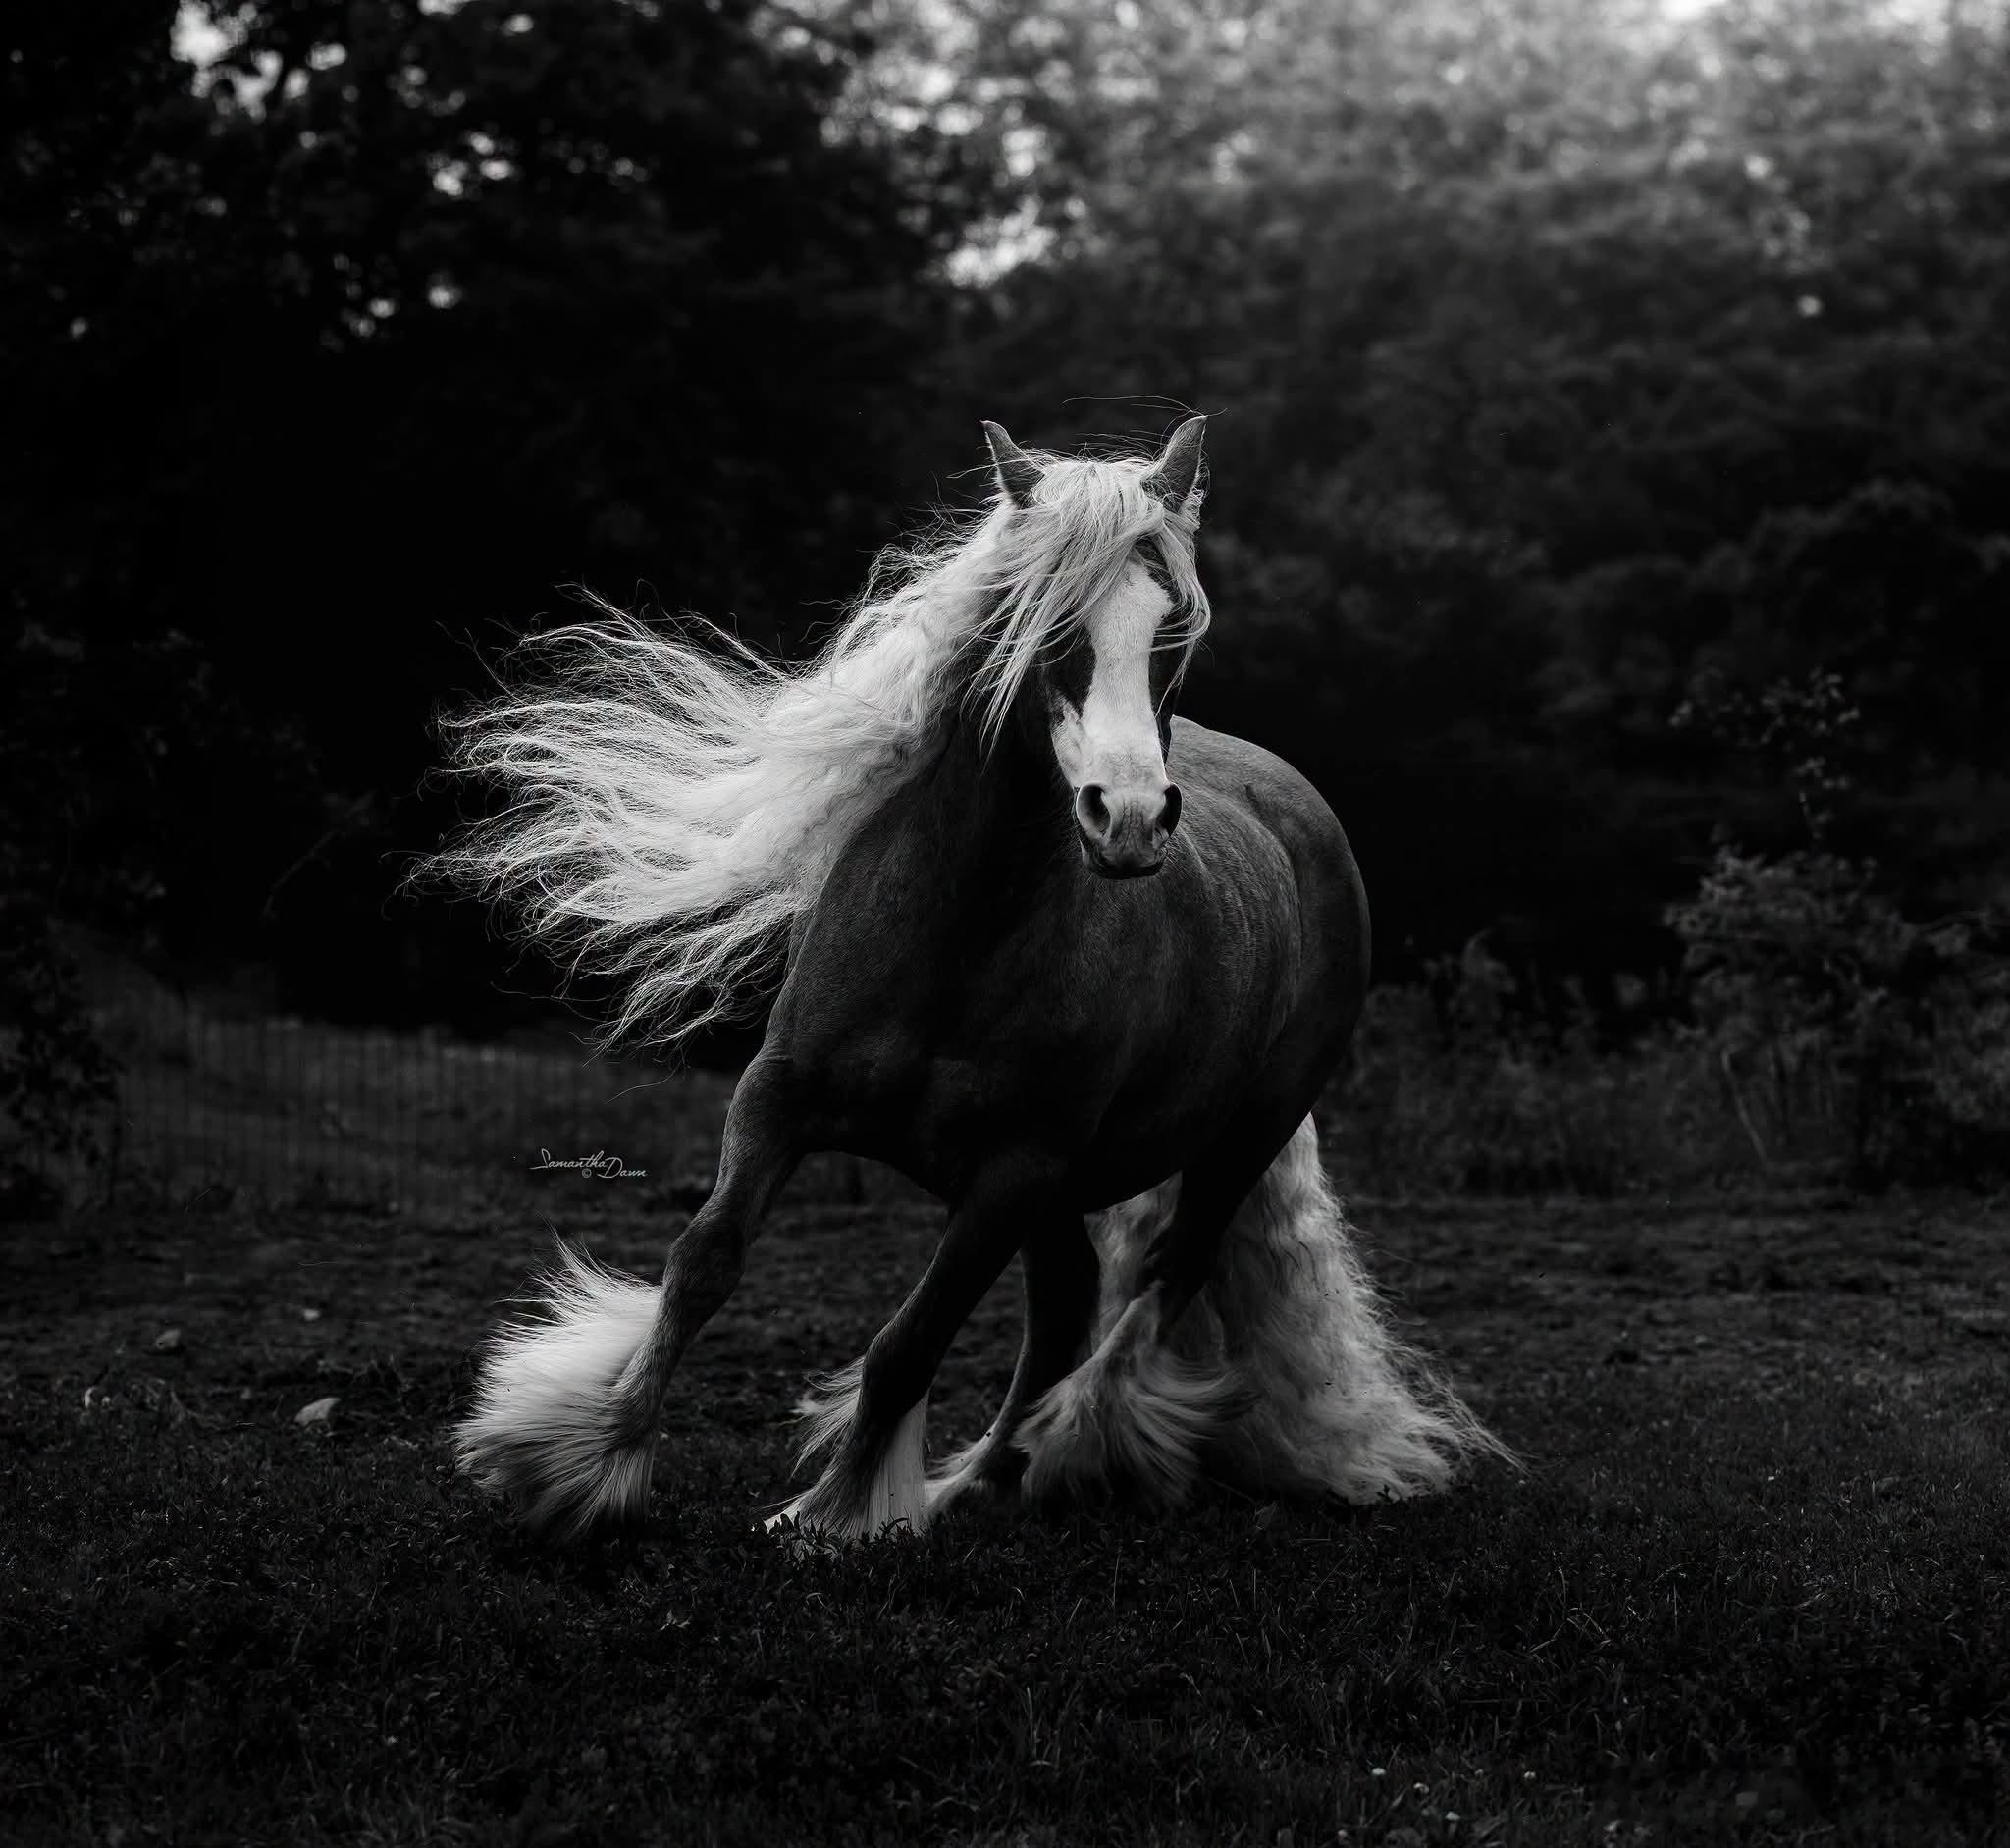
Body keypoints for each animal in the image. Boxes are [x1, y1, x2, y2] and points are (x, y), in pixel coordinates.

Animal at [428, 415, 1507, 1543]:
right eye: (1046, 620)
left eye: (1172, 628)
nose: (1128, 817)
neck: (958, 932)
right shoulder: (777, 1099)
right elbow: (702, 1263)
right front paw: (581, 1463)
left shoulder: (1013, 1169)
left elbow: (912, 1339)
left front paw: (831, 1514)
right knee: (1070, 1298)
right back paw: (980, 1481)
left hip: (1233, 1140)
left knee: (1157, 1283)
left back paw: (1071, 1452)